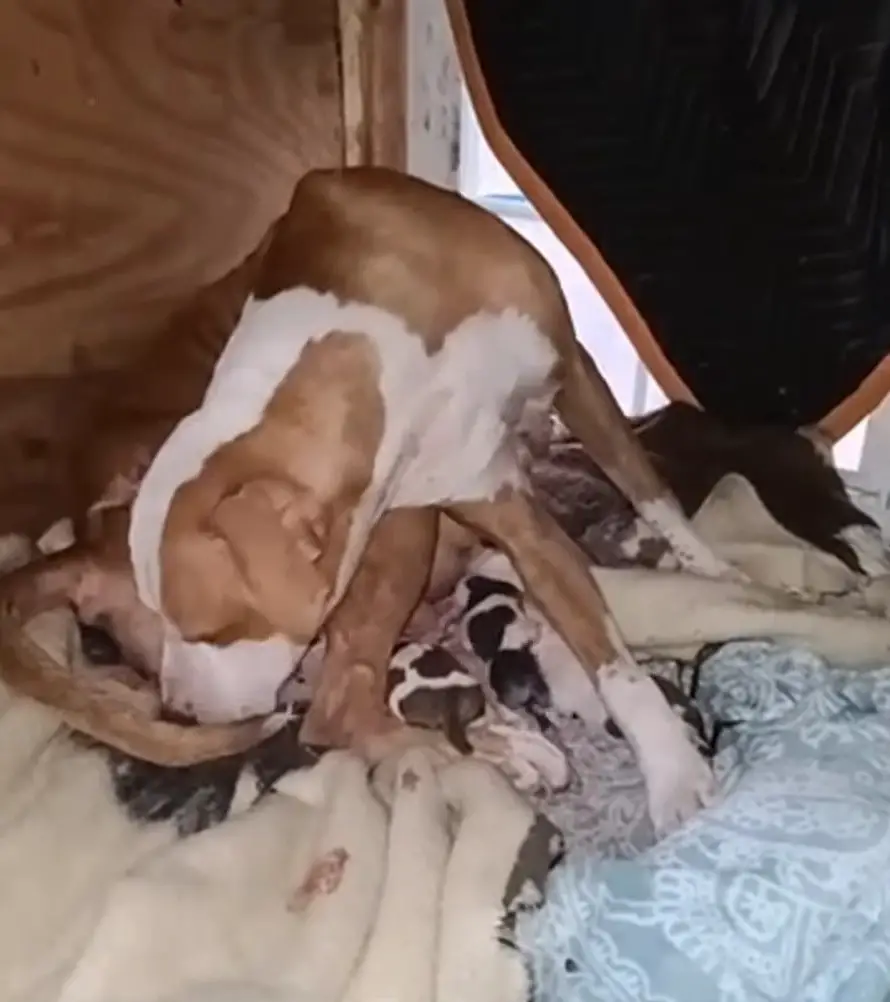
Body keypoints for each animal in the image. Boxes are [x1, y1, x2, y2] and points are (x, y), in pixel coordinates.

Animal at [0, 170, 737, 829]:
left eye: (213, 630)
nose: (177, 710)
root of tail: (84, 544)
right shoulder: (479, 503)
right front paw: (675, 770)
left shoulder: (570, 377)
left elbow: (642, 497)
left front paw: (711, 572)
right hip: (400, 536)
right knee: (340, 712)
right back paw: (503, 761)